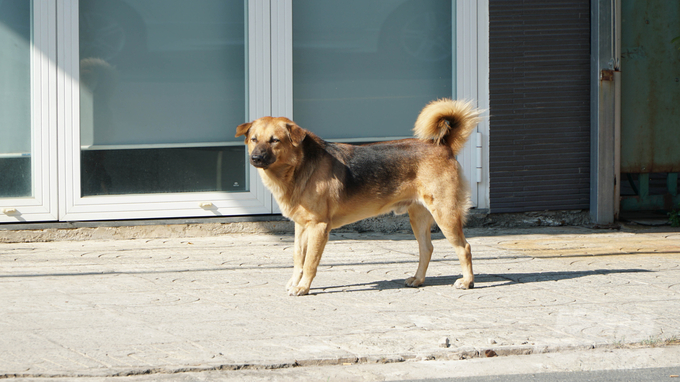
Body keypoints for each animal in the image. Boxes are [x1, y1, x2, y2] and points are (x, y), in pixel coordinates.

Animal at [236, 98, 480, 296]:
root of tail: (443, 146)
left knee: (465, 248)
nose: (255, 158)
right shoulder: (301, 227)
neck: (298, 167)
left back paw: (467, 282)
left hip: (445, 215)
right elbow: (298, 259)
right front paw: (295, 282)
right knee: (427, 249)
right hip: (418, 217)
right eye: (254, 139)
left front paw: (303, 287)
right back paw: (418, 279)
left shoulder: (318, 227)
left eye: (274, 140)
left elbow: (311, 262)